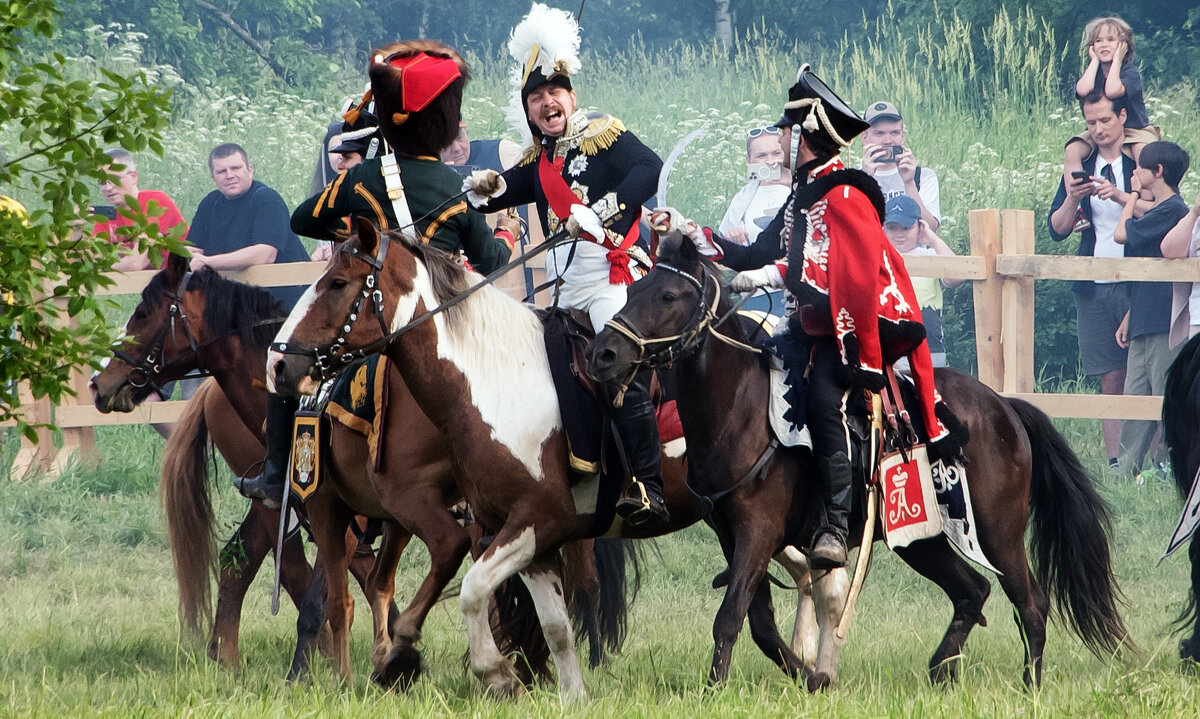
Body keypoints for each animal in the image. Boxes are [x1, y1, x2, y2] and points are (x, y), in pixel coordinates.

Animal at [268, 222, 840, 700]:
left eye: (338, 283)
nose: (279, 364)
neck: (494, 383)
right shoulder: (512, 532)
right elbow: (553, 624)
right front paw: (568, 693)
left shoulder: (531, 521)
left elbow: (470, 589)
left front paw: (487, 672)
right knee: (803, 573)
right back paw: (812, 659)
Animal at [590, 234, 1132, 691]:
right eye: (633, 287)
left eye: (668, 296)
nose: (604, 353)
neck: (740, 410)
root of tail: (1004, 407)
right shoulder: (733, 535)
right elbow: (758, 623)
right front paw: (811, 677)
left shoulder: (758, 531)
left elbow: (730, 616)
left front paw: (716, 688)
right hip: (921, 537)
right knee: (972, 592)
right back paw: (941, 669)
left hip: (998, 534)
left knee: (1031, 603)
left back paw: (1029, 686)